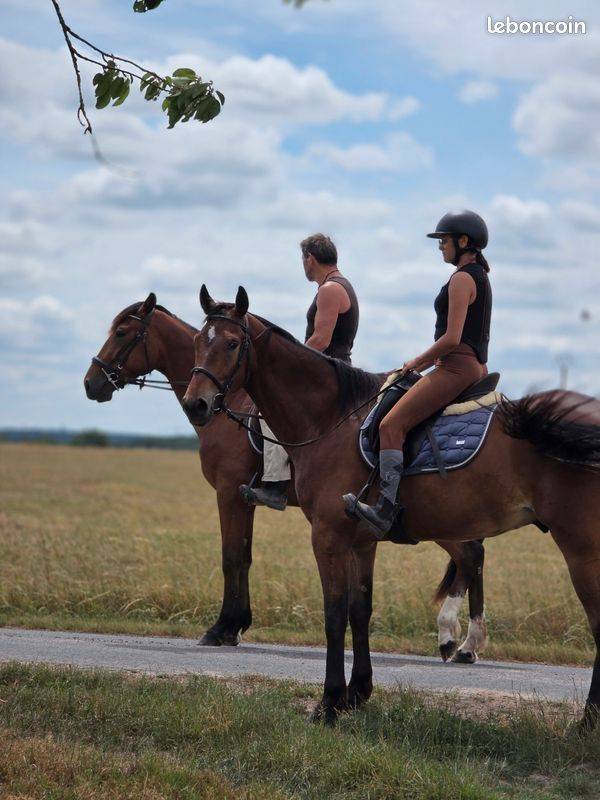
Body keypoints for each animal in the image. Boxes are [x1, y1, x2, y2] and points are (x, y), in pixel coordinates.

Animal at [84, 292, 489, 662]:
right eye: (200, 342)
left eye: (121, 333)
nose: (91, 382)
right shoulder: (243, 497)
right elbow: (244, 555)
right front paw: (235, 624)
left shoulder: (229, 492)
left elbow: (232, 556)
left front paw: (223, 628)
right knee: (474, 556)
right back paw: (468, 644)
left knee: (470, 554)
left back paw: (456, 639)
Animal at [182, 285, 600, 730]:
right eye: (198, 341)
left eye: (232, 343)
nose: (196, 404)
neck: (332, 418)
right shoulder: (361, 542)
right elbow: (360, 610)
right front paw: (356, 694)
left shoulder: (327, 535)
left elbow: (333, 615)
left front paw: (328, 703)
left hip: (581, 548)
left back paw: (585, 720)